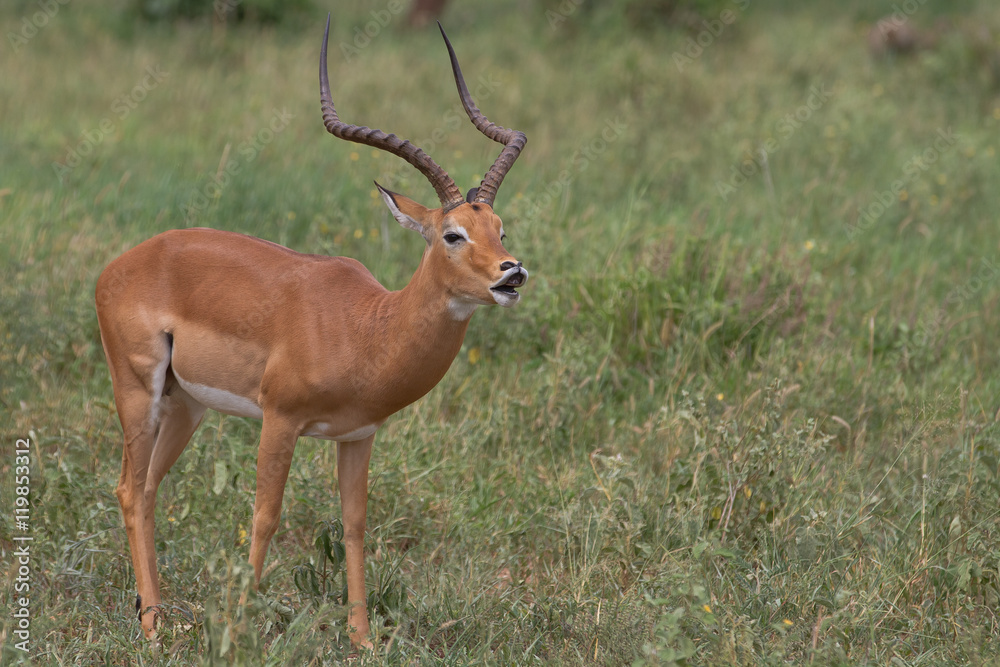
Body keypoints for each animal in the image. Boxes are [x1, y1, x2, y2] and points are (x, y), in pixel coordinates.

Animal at [95, 16, 527, 648]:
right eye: (453, 234)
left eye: (499, 228)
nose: (511, 272)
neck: (366, 327)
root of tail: (120, 265)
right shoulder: (280, 419)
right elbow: (265, 515)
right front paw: (239, 630)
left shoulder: (358, 435)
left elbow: (354, 525)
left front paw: (363, 639)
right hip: (137, 389)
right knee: (128, 488)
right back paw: (151, 626)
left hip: (185, 404)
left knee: (147, 488)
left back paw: (159, 615)